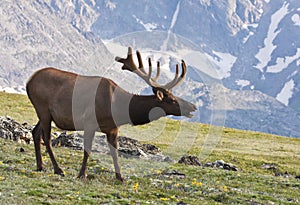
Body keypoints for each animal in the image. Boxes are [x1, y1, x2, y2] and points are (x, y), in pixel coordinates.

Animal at [27, 46, 197, 181]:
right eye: (172, 100)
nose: (193, 106)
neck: (118, 109)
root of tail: (29, 81)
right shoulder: (89, 122)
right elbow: (87, 150)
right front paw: (82, 174)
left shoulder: (113, 129)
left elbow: (114, 152)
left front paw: (120, 177)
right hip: (43, 108)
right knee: (46, 138)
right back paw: (58, 169)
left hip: (43, 113)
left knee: (35, 132)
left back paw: (40, 166)